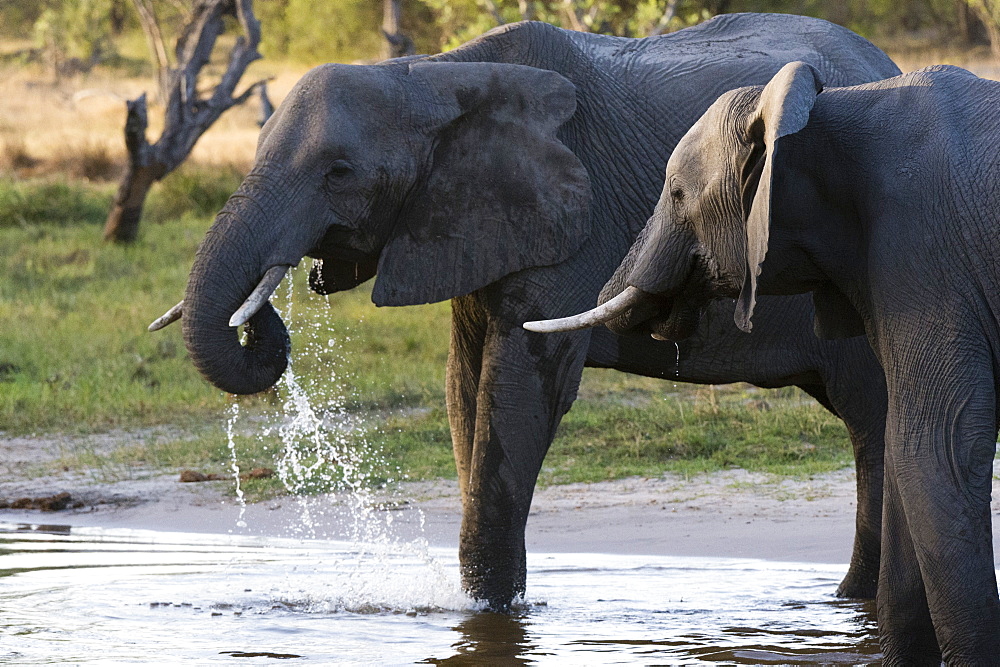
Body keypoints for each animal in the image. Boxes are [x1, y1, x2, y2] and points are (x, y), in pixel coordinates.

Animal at [150, 15, 900, 612]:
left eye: (338, 173)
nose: (264, 314)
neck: (435, 75)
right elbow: (463, 389)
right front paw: (486, 608)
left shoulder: (571, 218)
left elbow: (518, 391)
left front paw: (489, 613)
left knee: (871, 418)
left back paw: (853, 602)